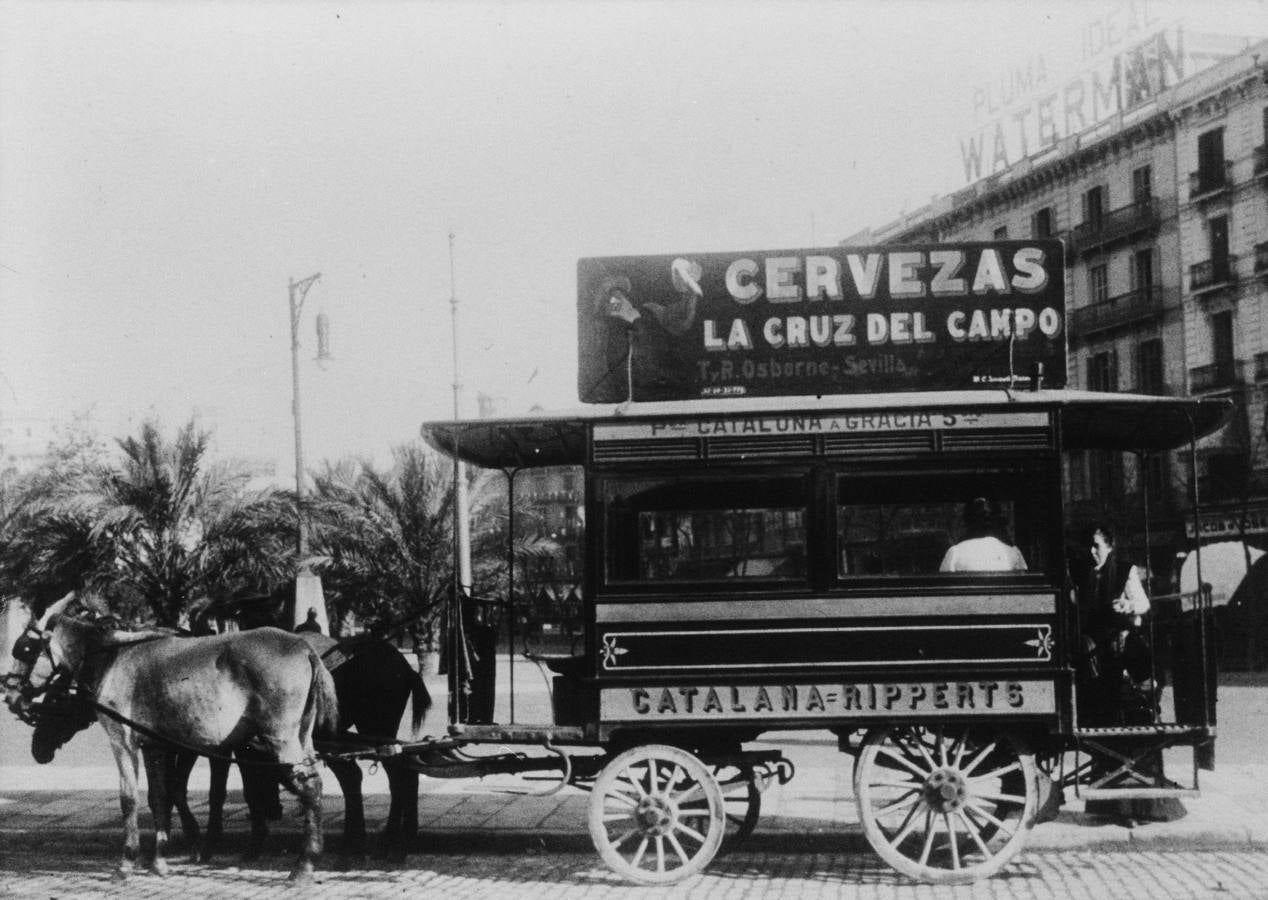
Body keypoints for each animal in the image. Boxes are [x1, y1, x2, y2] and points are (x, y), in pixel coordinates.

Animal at [3, 595, 337, 887]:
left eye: (25, 648)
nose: (11, 696)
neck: (111, 657)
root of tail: (303, 646)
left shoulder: (123, 740)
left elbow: (130, 799)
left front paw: (127, 862)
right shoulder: (156, 745)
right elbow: (160, 797)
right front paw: (159, 861)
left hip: (280, 738)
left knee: (309, 787)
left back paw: (304, 864)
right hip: (300, 736)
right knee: (313, 785)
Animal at [200, 633, 433, 861]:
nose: (274, 810)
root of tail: (405, 666)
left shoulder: (233, 748)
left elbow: (231, 790)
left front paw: (223, 843)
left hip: (376, 726)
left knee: (396, 776)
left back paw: (389, 842)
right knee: (399, 772)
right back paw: (398, 838)